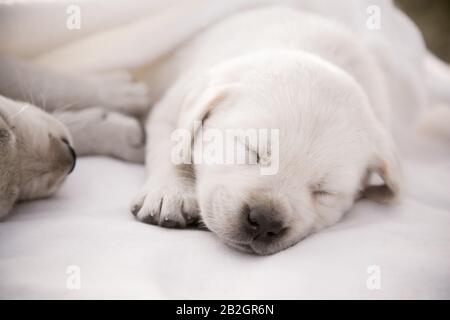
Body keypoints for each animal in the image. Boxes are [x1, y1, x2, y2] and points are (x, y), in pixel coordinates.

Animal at [132, 7, 402, 255]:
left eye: (324, 192)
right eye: (253, 151)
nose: (265, 221)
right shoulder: (177, 99)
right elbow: (173, 145)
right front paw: (170, 193)